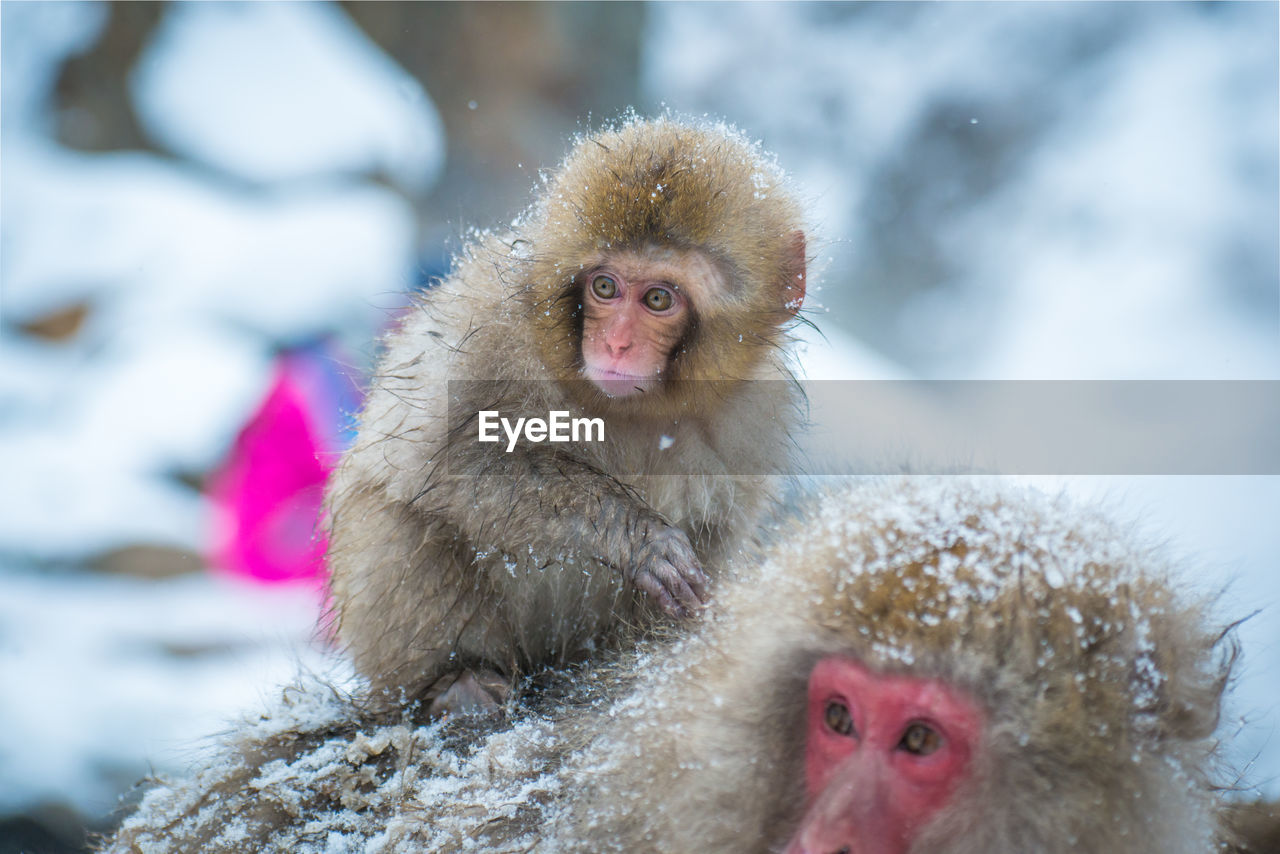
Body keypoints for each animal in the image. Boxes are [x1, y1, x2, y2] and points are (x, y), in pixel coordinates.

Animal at [330, 115, 808, 717]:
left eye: (658, 299)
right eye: (604, 287)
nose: (617, 344)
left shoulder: (755, 412)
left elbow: (716, 530)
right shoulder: (491, 331)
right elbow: (448, 462)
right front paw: (637, 537)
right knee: (397, 512)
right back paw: (455, 682)